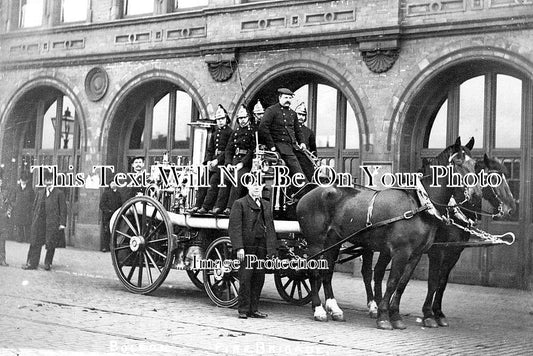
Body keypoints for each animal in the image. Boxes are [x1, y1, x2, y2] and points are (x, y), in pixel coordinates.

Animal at [296, 138, 478, 330]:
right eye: (458, 162)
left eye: (474, 163)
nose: (475, 193)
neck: (419, 204)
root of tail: (308, 194)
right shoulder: (402, 251)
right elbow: (392, 282)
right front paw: (384, 315)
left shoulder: (417, 254)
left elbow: (402, 283)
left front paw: (395, 315)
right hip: (315, 243)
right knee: (314, 271)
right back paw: (318, 309)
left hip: (333, 241)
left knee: (328, 271)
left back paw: (334, 308)